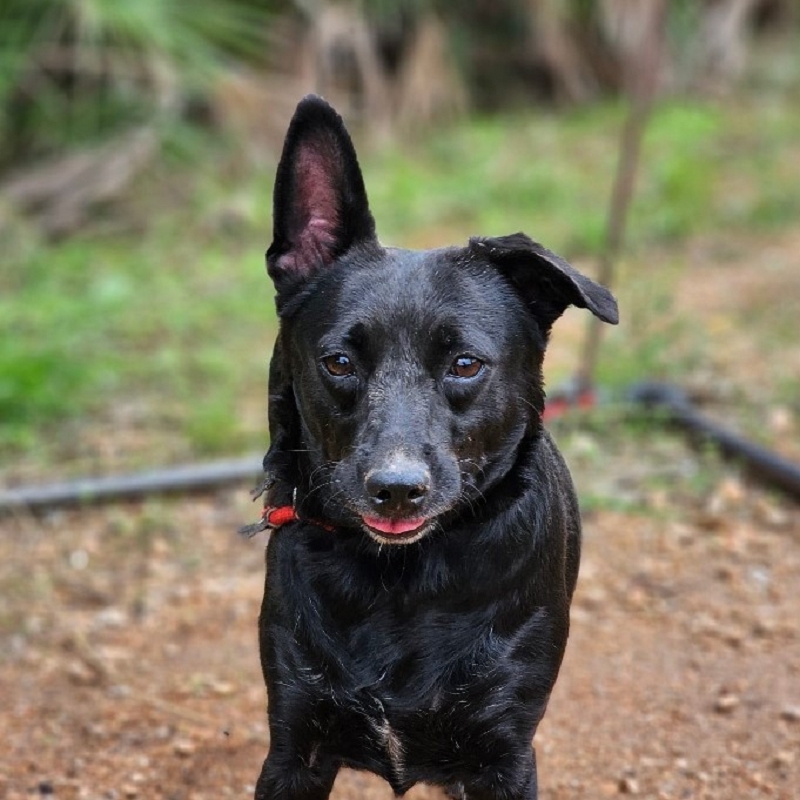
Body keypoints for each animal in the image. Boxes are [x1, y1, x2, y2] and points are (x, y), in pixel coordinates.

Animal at [249, 95, 618, 800]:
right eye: (339, 361)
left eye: (466, 364)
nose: (396, 489)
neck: (401, 581)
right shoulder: (294, 749)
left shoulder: (502, 756)